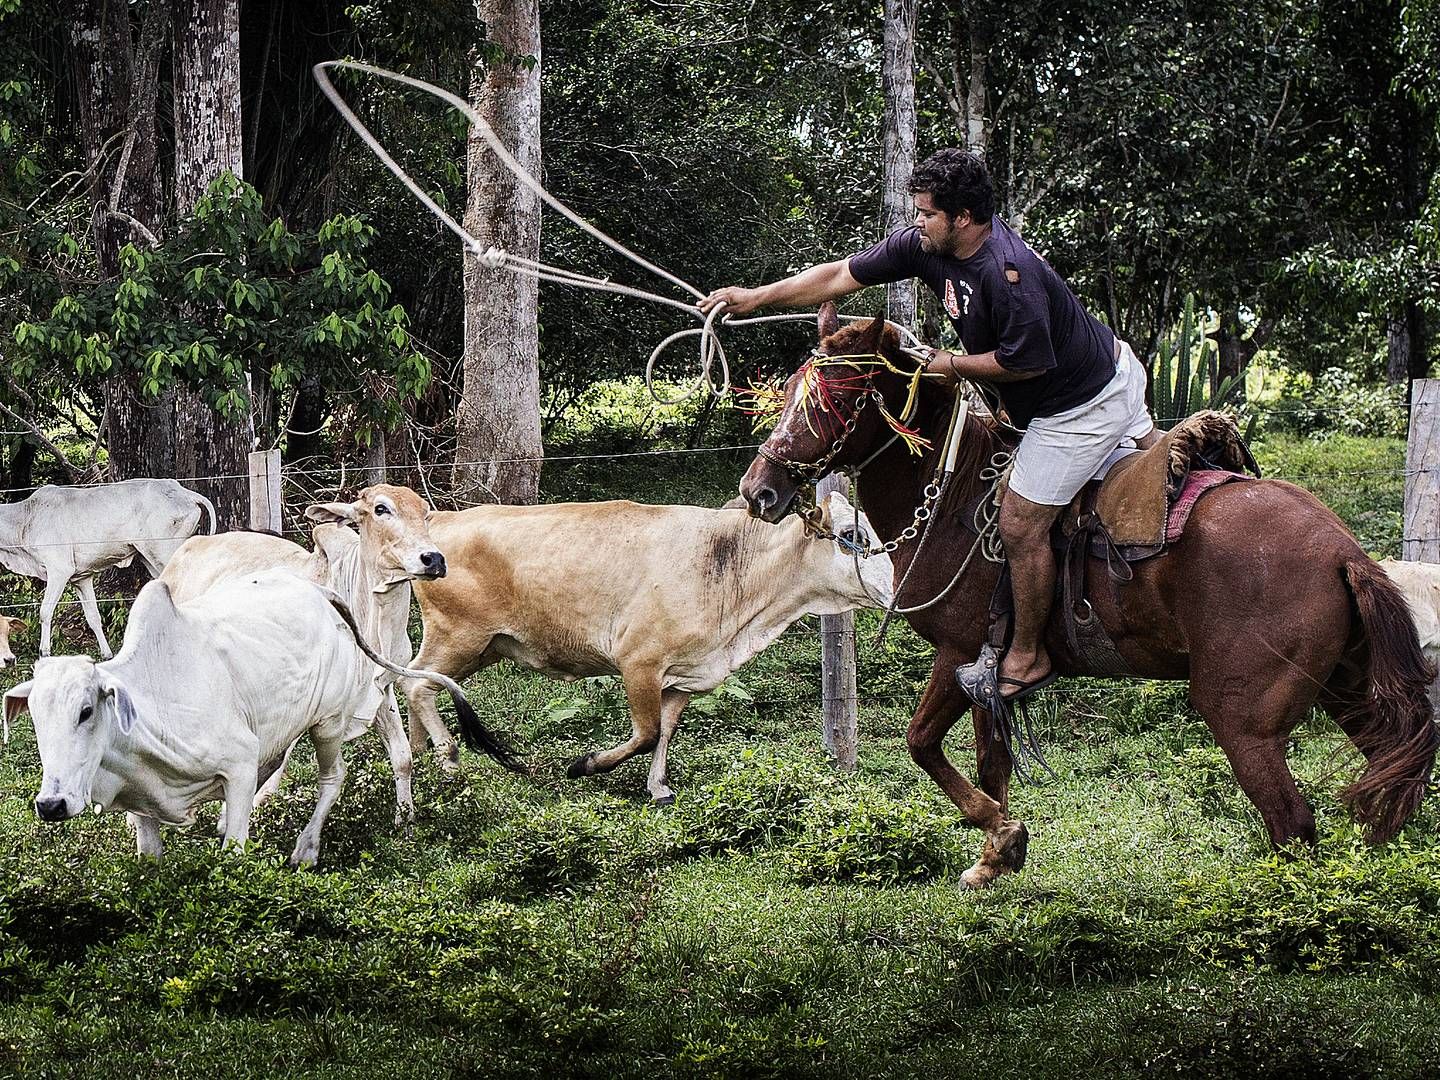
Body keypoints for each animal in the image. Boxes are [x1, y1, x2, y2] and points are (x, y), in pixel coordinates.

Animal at [743, 302, 1440, 887]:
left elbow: (922, 743)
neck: (957, 496)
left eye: (837, 398)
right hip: (1350, 690)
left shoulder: (959, 651)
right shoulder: (986, 673)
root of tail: (1344, 553)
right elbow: (991, 764)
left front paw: (1003, 834)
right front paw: (996, 855)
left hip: (1244, 720)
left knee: (1291, 823)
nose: (759, 490)